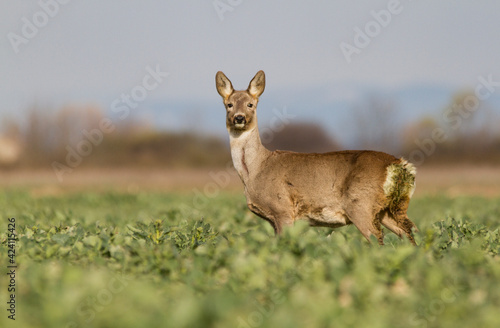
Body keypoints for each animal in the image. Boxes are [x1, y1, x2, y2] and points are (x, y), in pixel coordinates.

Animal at [215, 72, 418, 246]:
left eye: (250, 104)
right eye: (229, 105)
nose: (239, 118)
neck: (255, 169)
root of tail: (399, 165)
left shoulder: (283, 209)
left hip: (362, 205)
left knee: (379, 241)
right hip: (391, 208)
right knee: (410, 235)